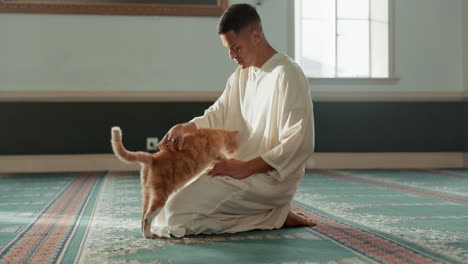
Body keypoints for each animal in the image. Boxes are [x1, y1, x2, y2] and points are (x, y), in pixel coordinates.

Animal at [110, 127, 238, 238]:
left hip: (147, 195)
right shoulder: (216, 154)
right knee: (147, 216)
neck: (217, 133)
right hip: (160, 196)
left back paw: (145, 232)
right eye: (235, 144)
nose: (235, 150)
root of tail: (153, 158)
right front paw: (234, 160)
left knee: (143, 216)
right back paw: (148, 235)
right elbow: (225, 159)